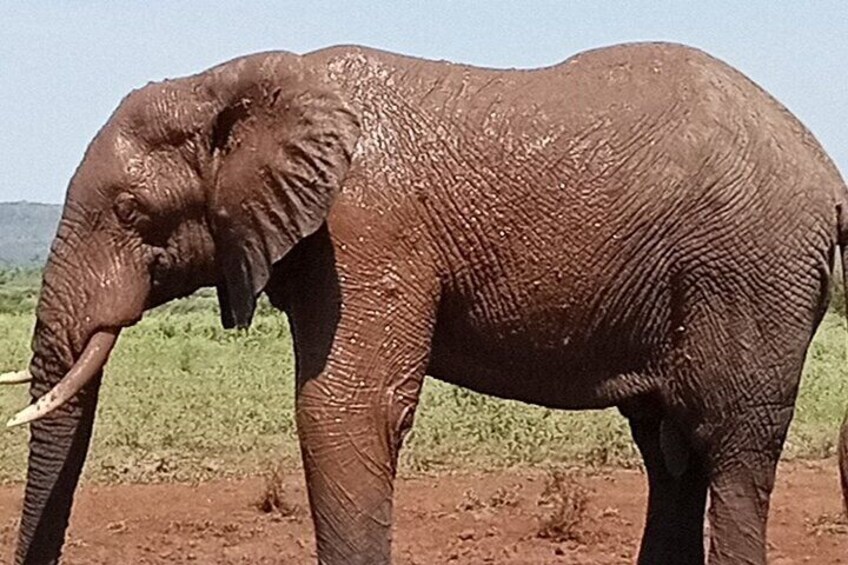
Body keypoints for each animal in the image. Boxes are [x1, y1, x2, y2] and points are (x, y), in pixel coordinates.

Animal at [1, 40, 848, 564]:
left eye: (132, 212)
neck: (235, 80)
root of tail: (831, 176)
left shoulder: (365, 230)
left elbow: (342, 409)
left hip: (751, 273)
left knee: (731, 451)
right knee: (671, 453)